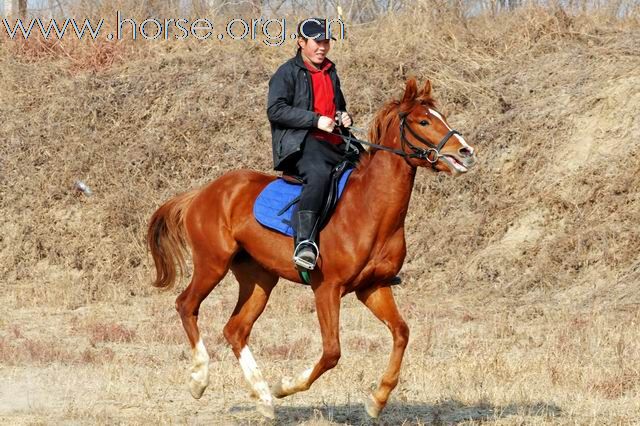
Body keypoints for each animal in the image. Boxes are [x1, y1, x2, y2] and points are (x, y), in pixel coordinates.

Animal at [145, 77, 476, 420]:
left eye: (441, 116)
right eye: (423, 121)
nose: (466, 152)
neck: (369, 208)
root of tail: (202, 193)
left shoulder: (373, 287)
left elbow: (401, 332)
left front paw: (377, 400)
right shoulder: (327, 289)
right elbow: (332, 352)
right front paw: (285, 385)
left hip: (259, 279)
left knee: (235, 329)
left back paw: (263, 398)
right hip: (213, 264)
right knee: (186, 305)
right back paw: (201, 378)